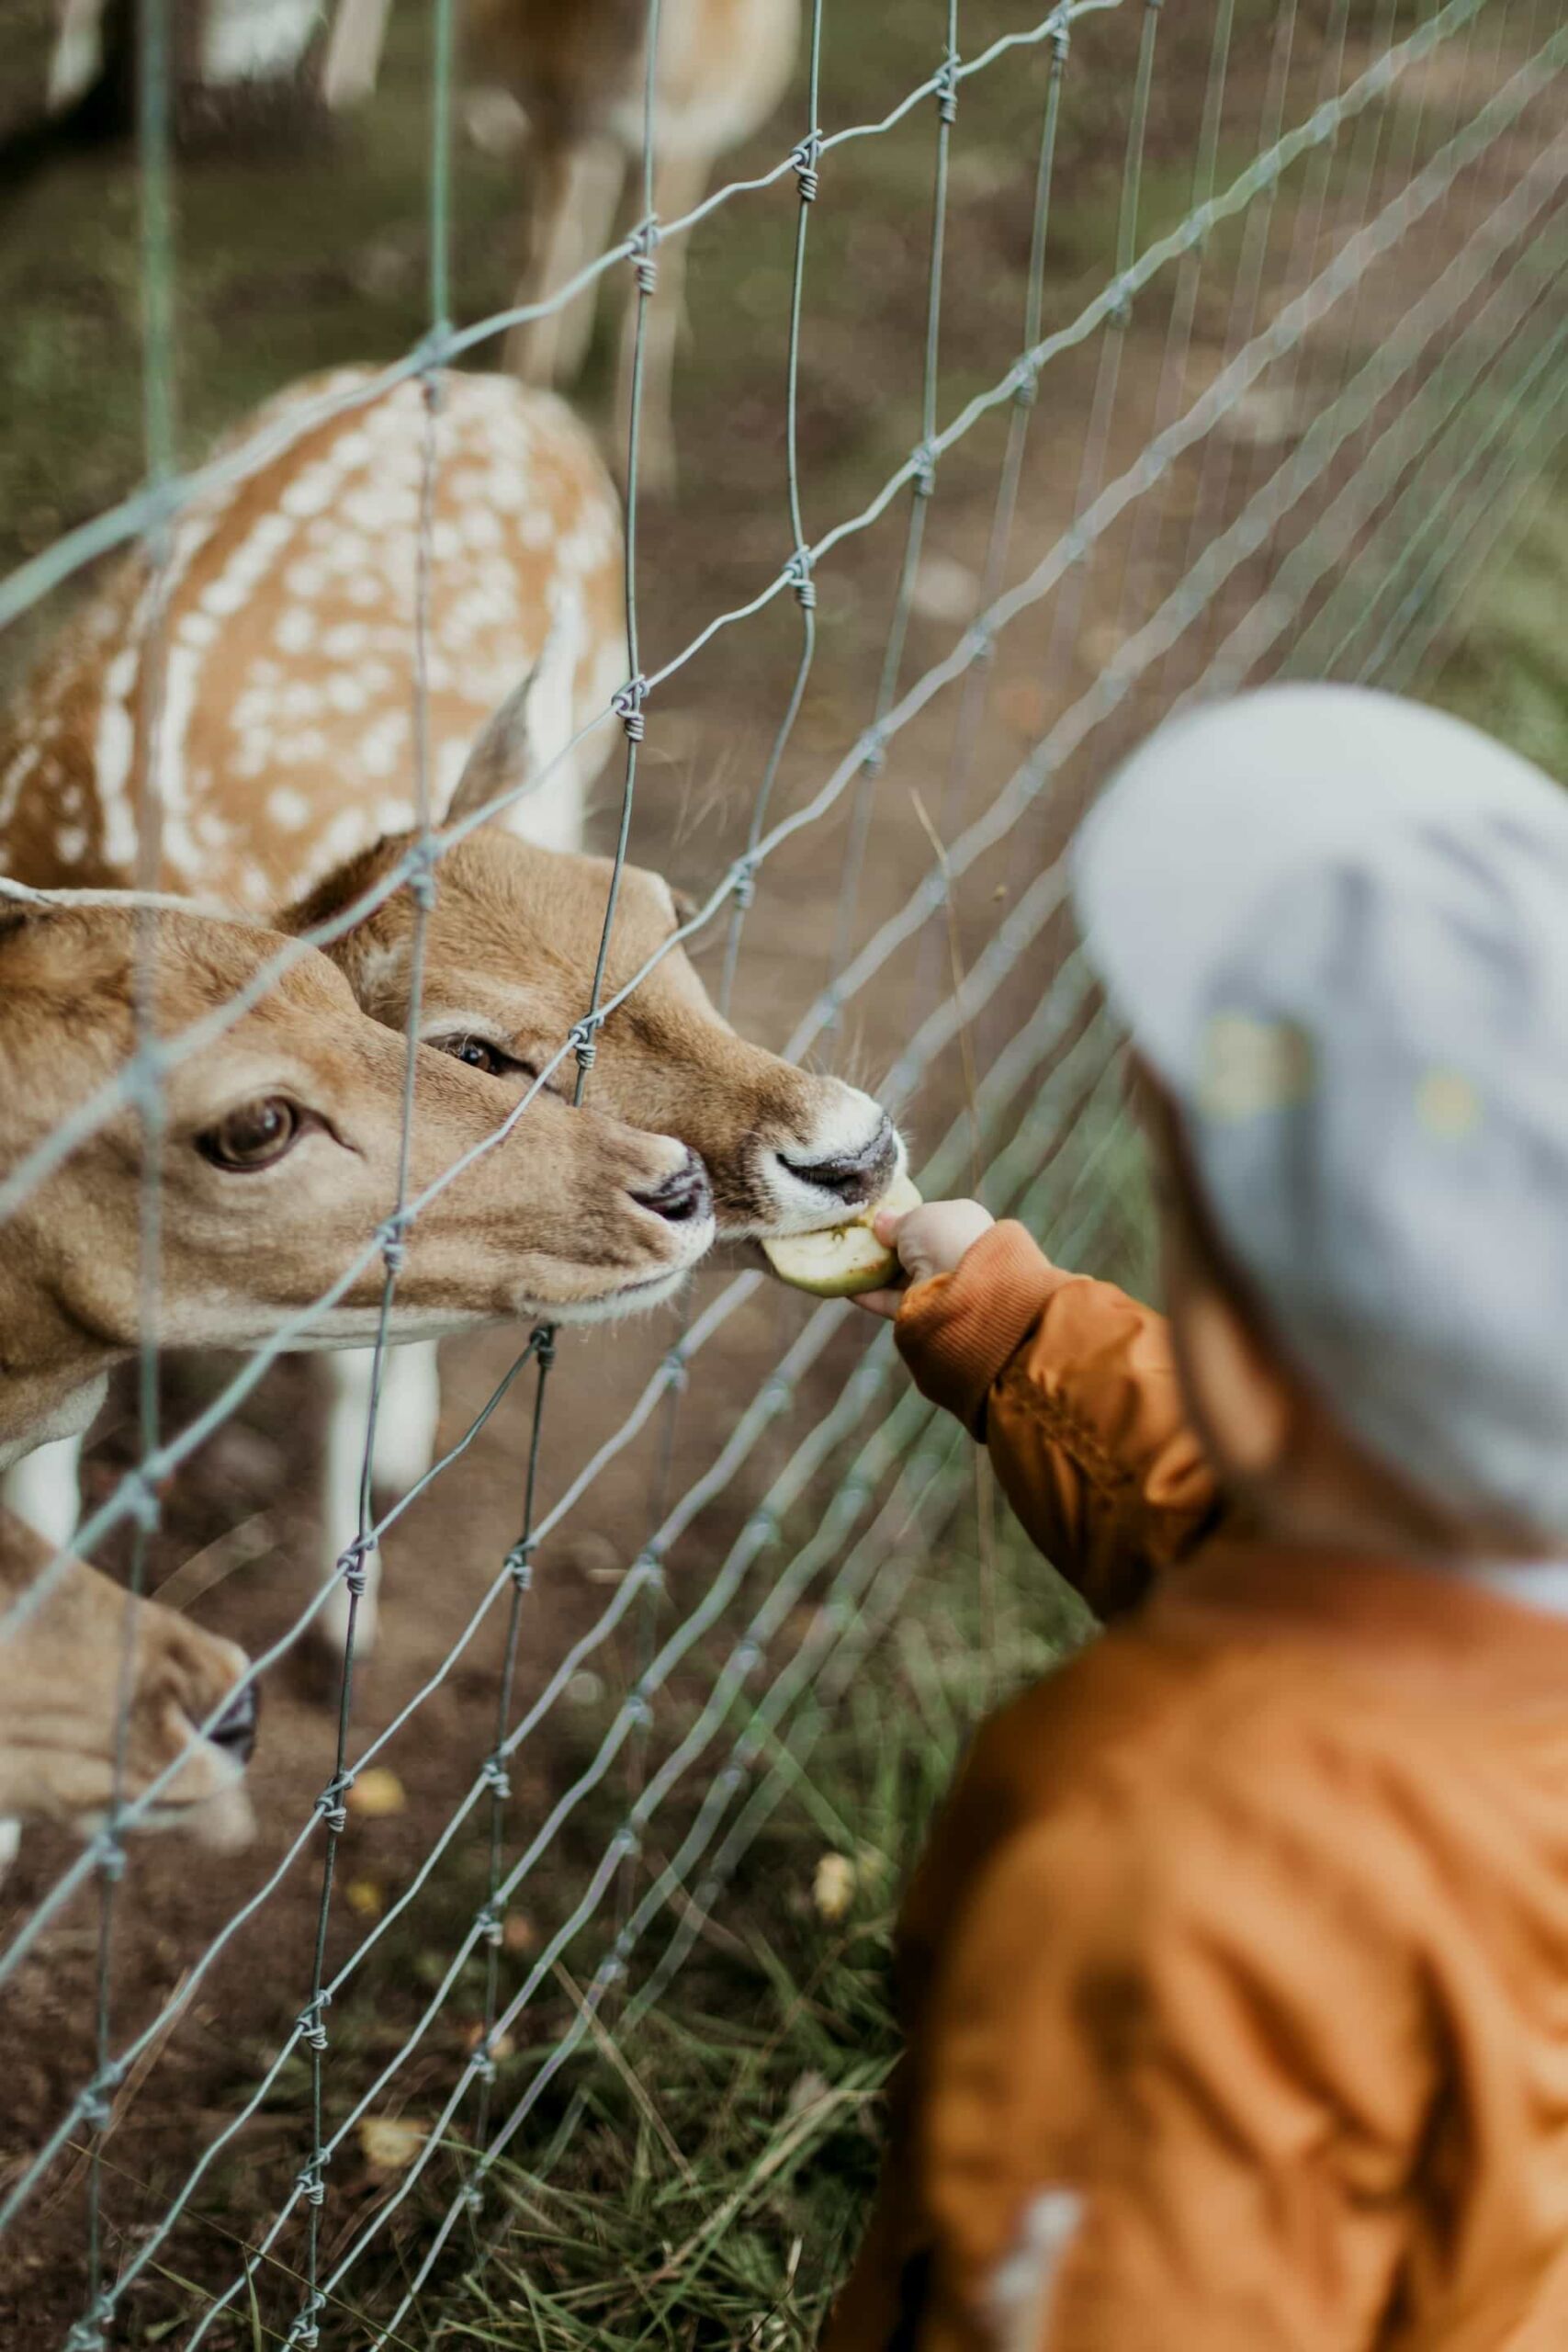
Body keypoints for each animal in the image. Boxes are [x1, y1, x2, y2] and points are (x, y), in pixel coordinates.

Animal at [324, 1, 804, 492]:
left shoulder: (684, 136)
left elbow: (655, 271)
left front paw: (644, 457)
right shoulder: (565, 121)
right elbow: (547, 257)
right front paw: (525, 394)